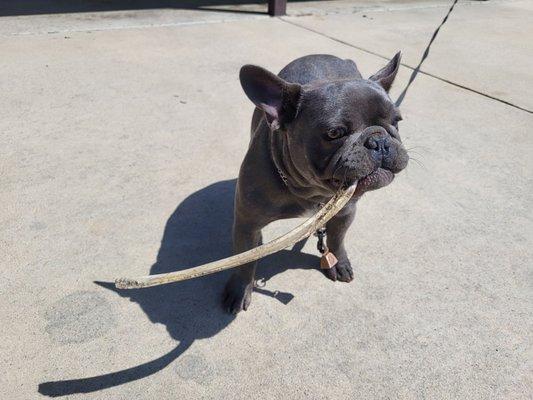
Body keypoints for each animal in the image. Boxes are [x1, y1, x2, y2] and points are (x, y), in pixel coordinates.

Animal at [221, 53, 408, 314]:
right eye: (334, 133)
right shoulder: (247, 224)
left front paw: (338, 261)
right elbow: (245, 260)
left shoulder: (345, 212)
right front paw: (240, 289)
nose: (378, 141)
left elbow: (336, 239)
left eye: (397, 122)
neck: (311, 192)